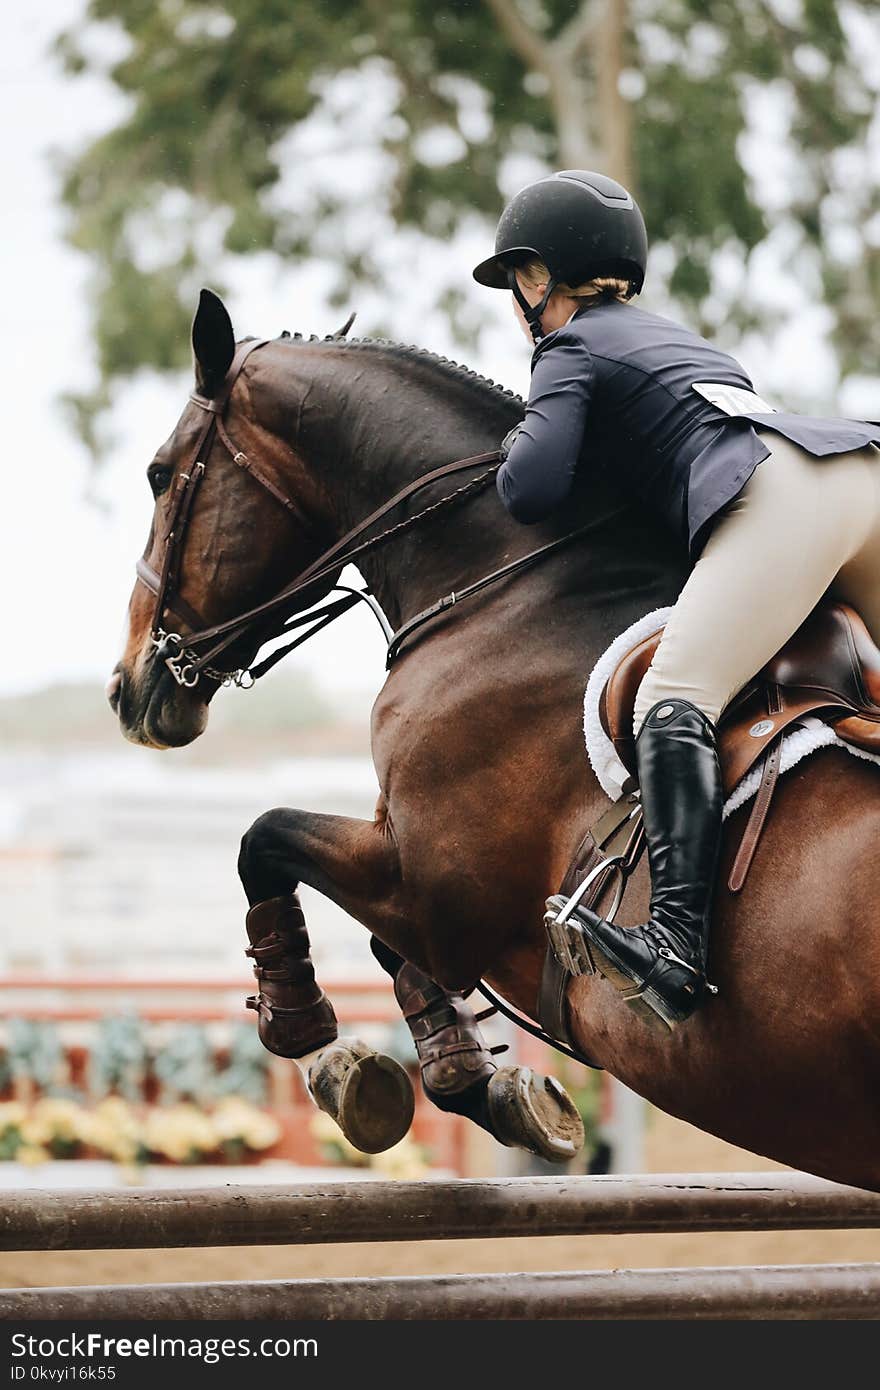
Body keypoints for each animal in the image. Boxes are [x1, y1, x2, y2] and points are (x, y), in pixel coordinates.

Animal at [109, 287, 878, 1189]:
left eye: (160, 474)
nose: (128, 688)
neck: (508, 585)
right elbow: (377, 939)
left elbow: (265, 842)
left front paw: (313, 1043)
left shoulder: (433, 887)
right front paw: (473, 1083)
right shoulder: (422, 882)